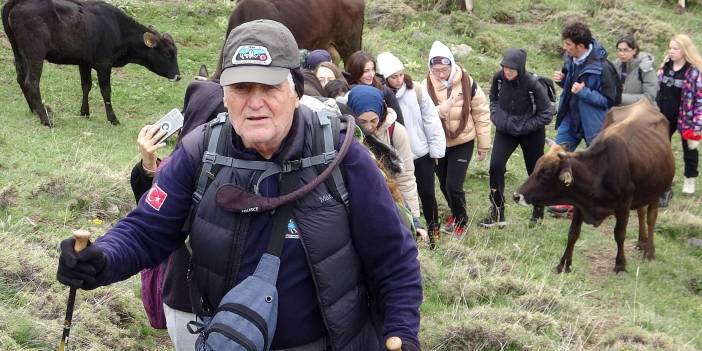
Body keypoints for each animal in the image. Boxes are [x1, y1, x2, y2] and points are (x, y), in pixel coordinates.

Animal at [3, 0, 179, 126]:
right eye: (167, 53)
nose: (178, 76)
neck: (118, 28)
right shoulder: (104, 64)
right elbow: (106, 91)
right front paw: (113, 119)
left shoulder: (84, 62)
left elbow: (86, 86)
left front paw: (84, 112)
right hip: (35, 53)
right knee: (31, 82)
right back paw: (46, 120)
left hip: (18, 51)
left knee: (20, 78)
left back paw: (35, 110)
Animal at [516, 100, 676, 274]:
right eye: (536, 167)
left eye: (545, 173)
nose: (517, 195)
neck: (599, 171)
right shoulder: (579, 203)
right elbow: (573, 233)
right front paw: (564, 264)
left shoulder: (624, 204)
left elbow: (620, 234)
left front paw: (620, 265)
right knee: (641, 211)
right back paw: (641, 242)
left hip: (656, 191)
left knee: (651, 218)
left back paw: (649, 251)